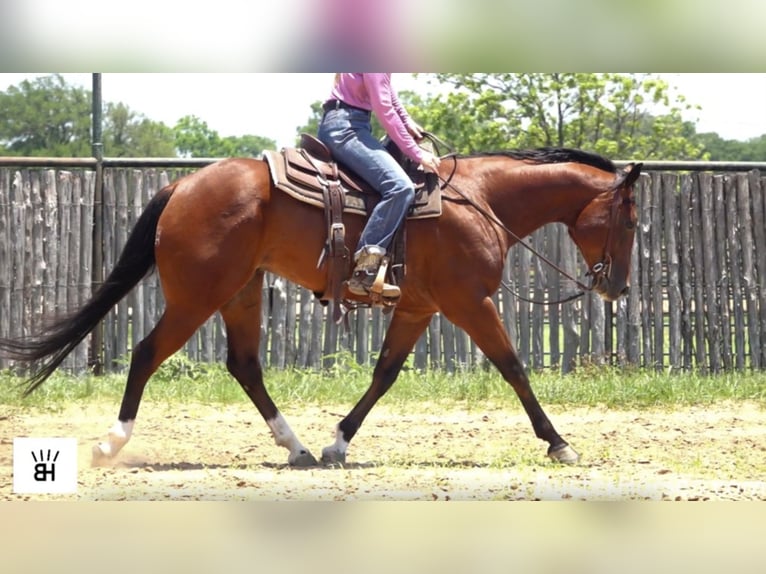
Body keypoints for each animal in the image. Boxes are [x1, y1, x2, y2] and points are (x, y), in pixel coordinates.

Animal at [0, 146, 640, 466]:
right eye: (632, 221)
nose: (618, 288)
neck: (479, 200)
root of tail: (181, 186)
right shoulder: (471, 302)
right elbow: (513, 367)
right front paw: (559, 442)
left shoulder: (418, 310)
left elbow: (384, 374)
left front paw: (338, 441)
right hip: (197, 295)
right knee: (147, 352)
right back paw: (111, 443)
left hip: (240, 292)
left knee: (245, 365)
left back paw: (299, 447)